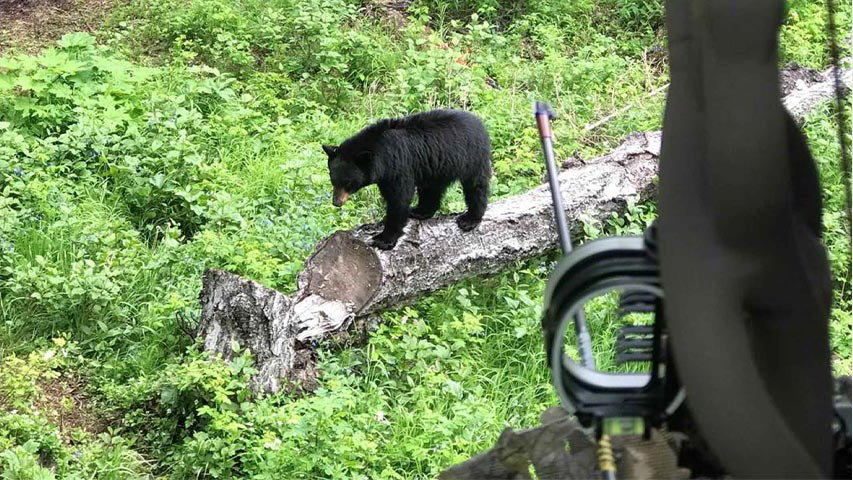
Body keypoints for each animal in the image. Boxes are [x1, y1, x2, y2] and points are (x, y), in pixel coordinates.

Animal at [322, 109, 492, 250]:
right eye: (333, 180)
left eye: (348, 183)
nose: (336, 202)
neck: (381, 154)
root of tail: (480, 123)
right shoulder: (385, 176)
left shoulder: (399, 167)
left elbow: (399, 198)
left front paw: (384, 239)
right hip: (436, 166)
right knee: (431, 189)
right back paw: (420, 211)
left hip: (472, 157)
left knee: (476, 186)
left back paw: (470, 219)